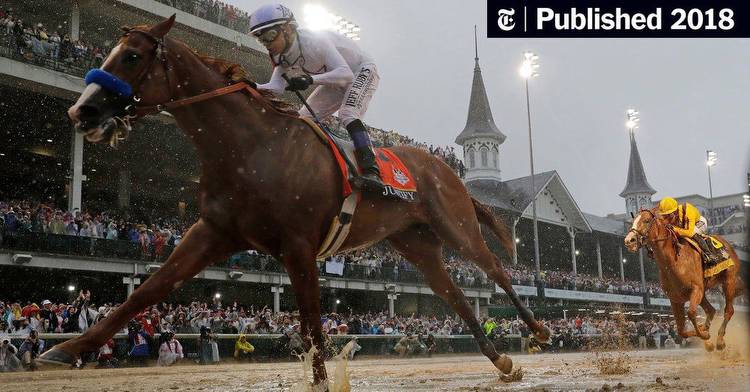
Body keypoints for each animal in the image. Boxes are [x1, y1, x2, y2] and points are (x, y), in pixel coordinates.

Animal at [36, 16, 552, 386]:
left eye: (131, 56)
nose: (82, 110)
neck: (249, 148)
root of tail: (449, 170)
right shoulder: (214, 232)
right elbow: (148, 290)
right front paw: (64, 349)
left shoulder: (300, 246)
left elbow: (310, 323)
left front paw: (321, 380)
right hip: (417, 246)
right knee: (457, 297)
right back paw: (501, 360)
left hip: (456, 227)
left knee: (497, 271)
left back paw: (538, 330)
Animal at [628, 210, 748, 350]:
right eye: (633, 221)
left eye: (646, 221)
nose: (629, 240)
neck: (675, 262)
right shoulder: (675, 298)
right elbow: (681, 331)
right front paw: (705, 334)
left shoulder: (696, 289)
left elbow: (691, 313)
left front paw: (705, 335)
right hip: (704, 292)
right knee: (711, 310)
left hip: (728, 280)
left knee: (728, 310)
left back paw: (719, 340)